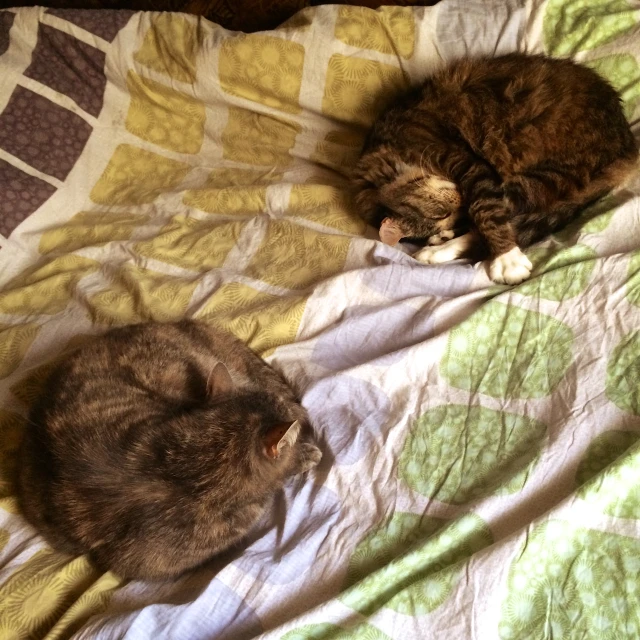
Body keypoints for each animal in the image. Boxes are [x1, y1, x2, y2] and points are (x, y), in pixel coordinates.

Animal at [352, 53, 636, 284]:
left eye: (440, 213)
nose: (460, 204)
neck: (386, 148)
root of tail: (627, 140)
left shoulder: (469, 165)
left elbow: (485, 210)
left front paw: (506, 259)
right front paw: (448, 233)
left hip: (546, 172)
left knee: (502, 215)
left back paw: (440, 250)